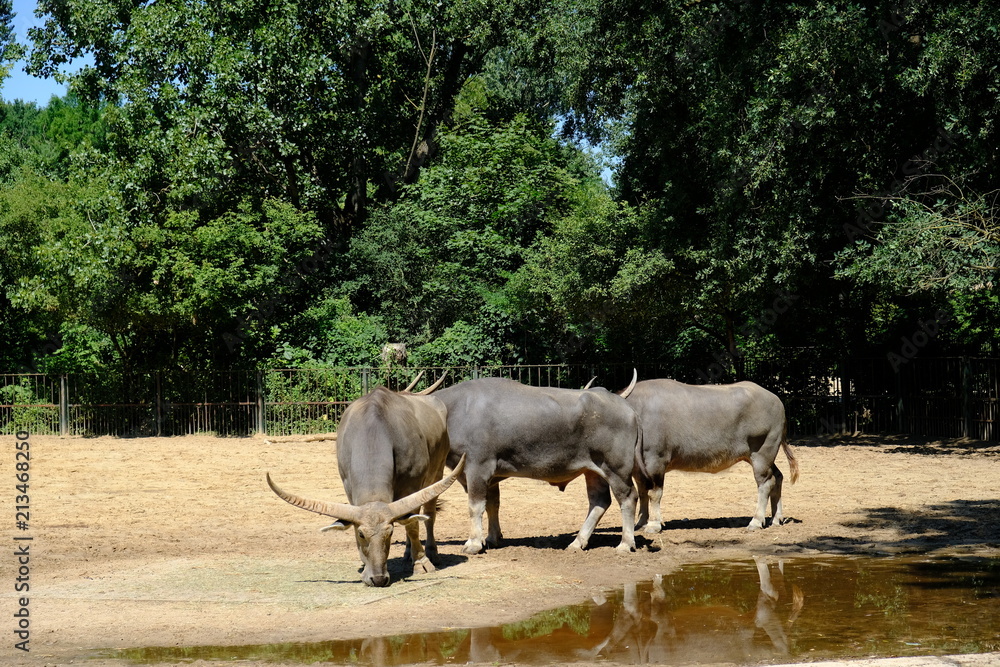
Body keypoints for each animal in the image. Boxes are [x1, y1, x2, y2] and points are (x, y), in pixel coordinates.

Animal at [266, 379, 465, 587]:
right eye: (361, 534)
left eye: (389, 533)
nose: (378, 578)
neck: (374, 432)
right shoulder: (348, 487)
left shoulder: (413, 484)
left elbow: (412, 524)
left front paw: (421, 562)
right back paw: (407, 552)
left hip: (437, 473)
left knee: (428, 514)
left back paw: (431, 552)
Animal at [436, 377, 643, 554]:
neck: (454, 411)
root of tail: (629, 409)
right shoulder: (491, 477)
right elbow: (492, 504)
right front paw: (492, 538)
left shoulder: (478, 468)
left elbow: (475, 506)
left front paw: (473, 543)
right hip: (593, 470)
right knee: (599, 501)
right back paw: (578, 542)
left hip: (616, 469)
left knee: (628, 497)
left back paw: (625, 543)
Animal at [625, 379, 799, 532]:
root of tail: (777, 401)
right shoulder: (639, 470)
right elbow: (642, 493)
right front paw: (640, 522)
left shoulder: (656, 461)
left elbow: (654, 493)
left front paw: (653, 525)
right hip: (760, 457)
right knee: (778, 476)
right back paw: (776, 518)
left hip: (762, 453)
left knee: (766, 483)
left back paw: (756, 521)